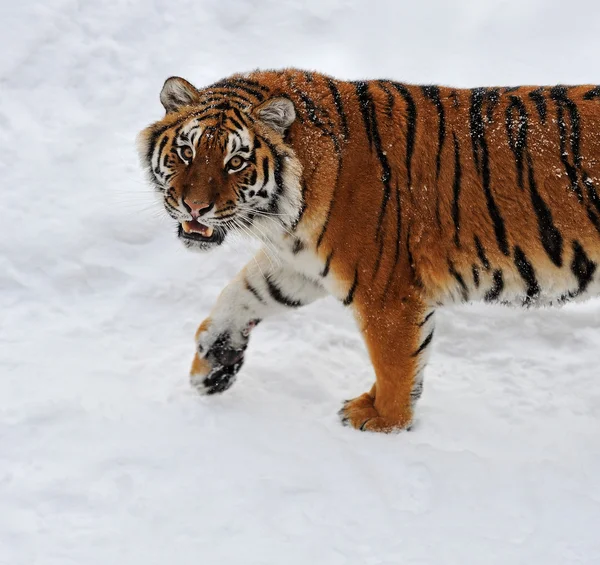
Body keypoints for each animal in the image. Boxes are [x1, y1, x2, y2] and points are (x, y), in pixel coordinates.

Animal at [138, 69, 600, 432]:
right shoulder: (297, 265)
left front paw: (384, 420)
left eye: (235, 162)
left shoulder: (385, 290)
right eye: (186, 152)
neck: (286, 214)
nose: (195, 207)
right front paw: (214, 364)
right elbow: (242, 294)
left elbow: (395, 360)